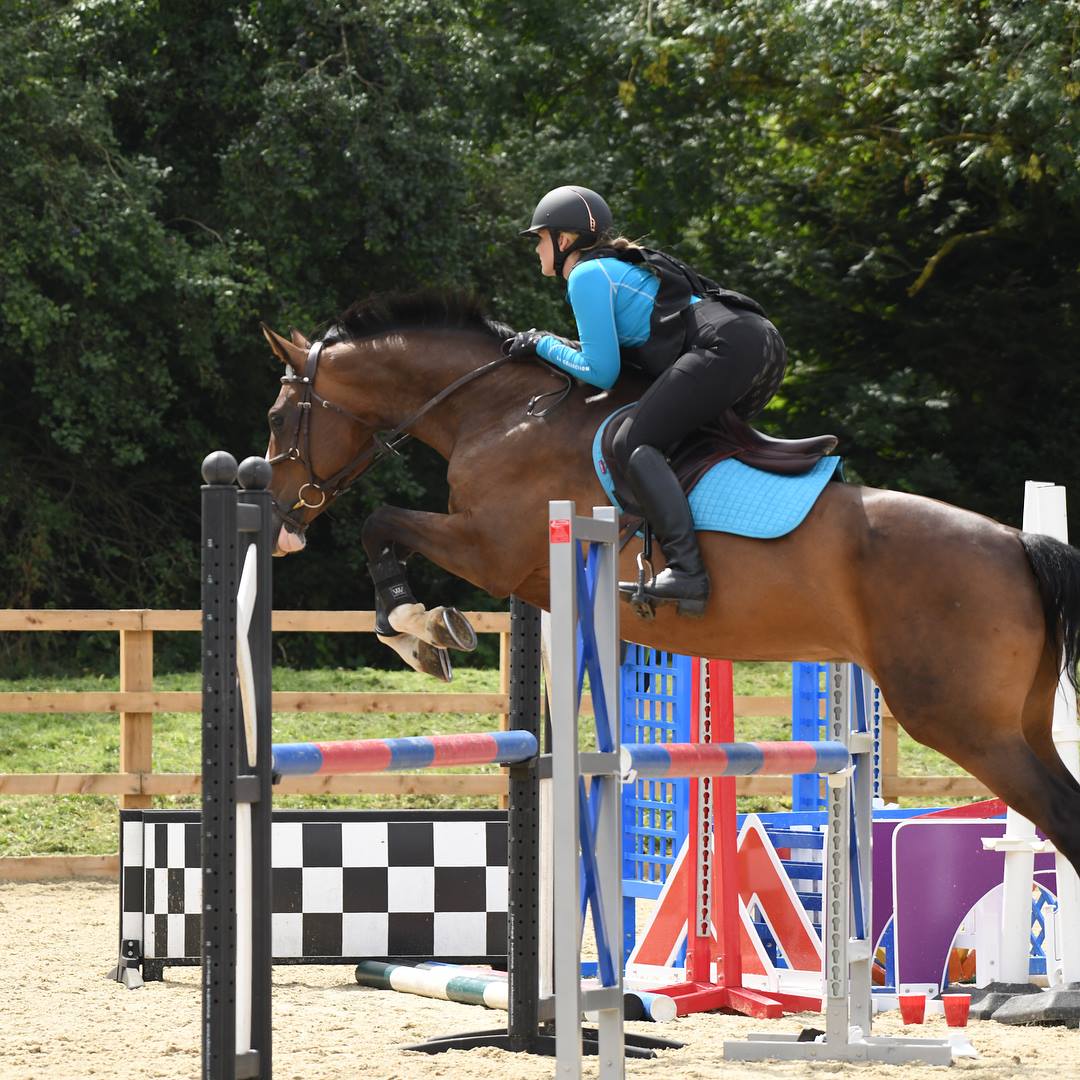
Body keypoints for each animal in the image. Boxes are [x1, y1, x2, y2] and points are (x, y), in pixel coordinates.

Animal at [259, 290, 1080, 878]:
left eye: (279, 415)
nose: (279, 518)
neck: (501, 411)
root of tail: (1016, 543)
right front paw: (425, 632)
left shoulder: (487, 548)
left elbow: (380, 524)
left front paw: (419, 629)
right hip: (1021, 721)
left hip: (965, 721)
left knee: (1059, 814)